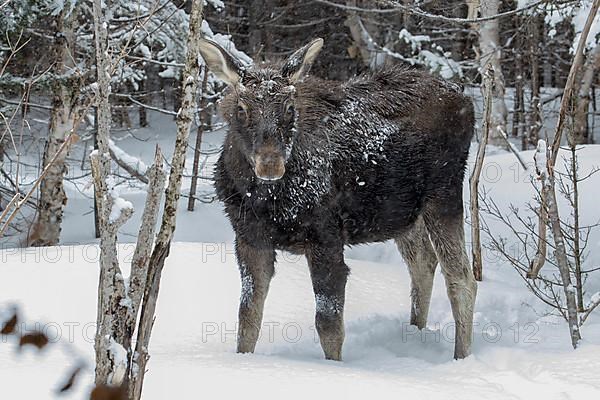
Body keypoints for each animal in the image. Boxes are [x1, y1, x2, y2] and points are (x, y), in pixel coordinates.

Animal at [200, 37, 478, 360]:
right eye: (242, 109)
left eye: (290, 108)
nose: (270, 164)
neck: (266, 202)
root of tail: (465, 100)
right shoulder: (249, 238)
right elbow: (247, 318)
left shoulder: (326, 237)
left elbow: (329, 325)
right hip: (403, 212)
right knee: (423, 262)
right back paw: (415, 332)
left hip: (443, 194)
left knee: (462, 277)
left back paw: (461, 357)